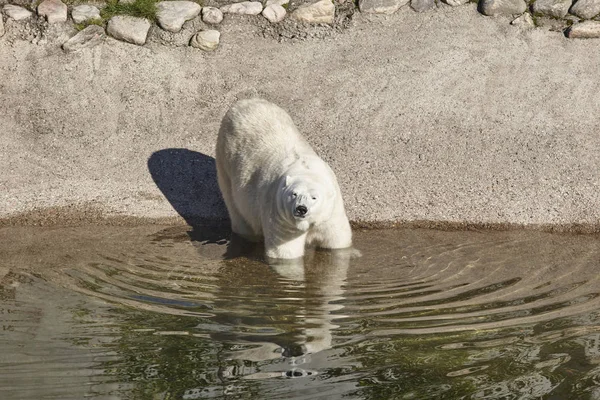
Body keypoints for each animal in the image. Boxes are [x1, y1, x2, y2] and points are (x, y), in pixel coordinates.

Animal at [216, 97, 354, 260]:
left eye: (314, 197)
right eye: (294, 194)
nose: (301, 209)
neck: (308, 171)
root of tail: (243, 102)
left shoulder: (331, 212)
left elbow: (337, 240)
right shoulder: (280, 214)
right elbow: (285, 250)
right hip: (225, 160)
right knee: (236, 208)